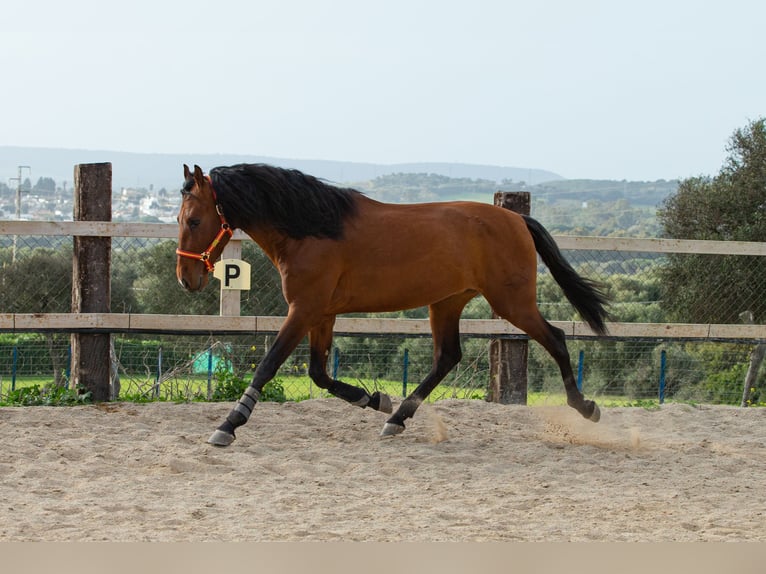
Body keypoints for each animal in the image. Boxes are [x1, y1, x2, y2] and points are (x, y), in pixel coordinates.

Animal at [176, 163, 609, 446]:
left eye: (194, 220)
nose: (186, 278)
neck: (311, 229)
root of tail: (517, 220)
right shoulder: (322, 313)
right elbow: (319, 374)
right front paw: (376, 400)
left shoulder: (303, 309)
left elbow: (269, 365)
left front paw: (228, 425)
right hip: (447, 302)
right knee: (447, 357)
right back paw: (397, 418)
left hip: (511, 302)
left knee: (555, 338)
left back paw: (586, 407)